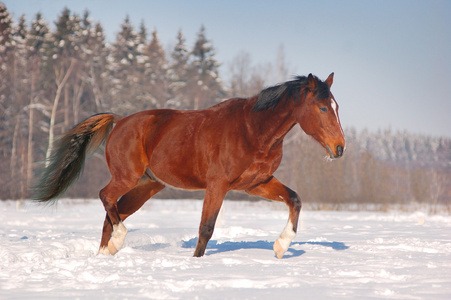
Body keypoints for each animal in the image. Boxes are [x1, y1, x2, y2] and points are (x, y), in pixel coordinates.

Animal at [34, 72, 346, 258]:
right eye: (322, 108)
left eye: (336, 107)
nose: (339, 148)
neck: (252, 130)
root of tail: (120, 122)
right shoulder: (218, 186)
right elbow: (206, 228)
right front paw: (196, 263)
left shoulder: (256, 184)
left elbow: (294, 199)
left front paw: (281, 247)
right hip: (127, 177)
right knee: (106, 198)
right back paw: (118, 241)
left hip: (148, 186)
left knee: (113, 212)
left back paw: (106, 253)